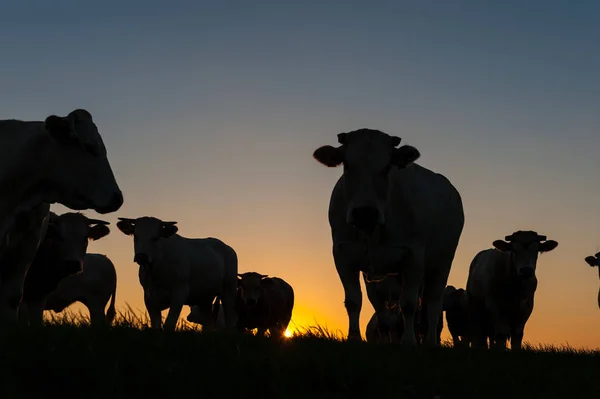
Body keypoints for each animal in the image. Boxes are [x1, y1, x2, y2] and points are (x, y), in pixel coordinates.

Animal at [312, 129, 466, 346]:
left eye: (386, 167)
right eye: (347, 165)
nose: (365, 212)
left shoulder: (414, 256)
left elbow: (408, 303)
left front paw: (409, 341)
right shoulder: (344, 255)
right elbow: (355, 302)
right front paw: (354, 338)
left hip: (442, 262)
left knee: (433, 303)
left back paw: (429, 342)